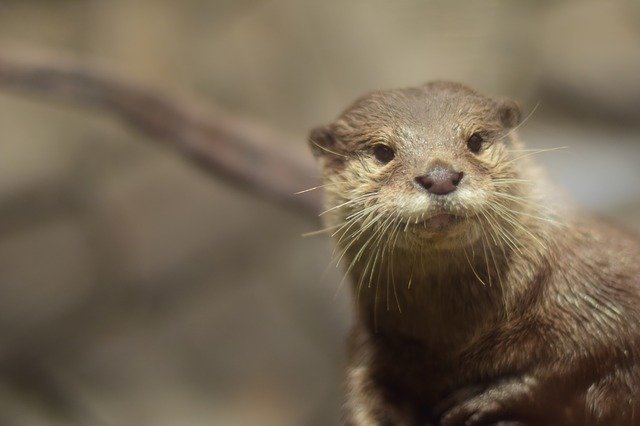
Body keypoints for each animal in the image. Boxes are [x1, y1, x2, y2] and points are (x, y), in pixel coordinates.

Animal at [308, 81, 640, 424]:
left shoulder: (607, 299)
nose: (440, 177)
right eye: (382, 152)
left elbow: (586, 359)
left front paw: (486, 396)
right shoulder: (370, 347)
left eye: (476, 140)